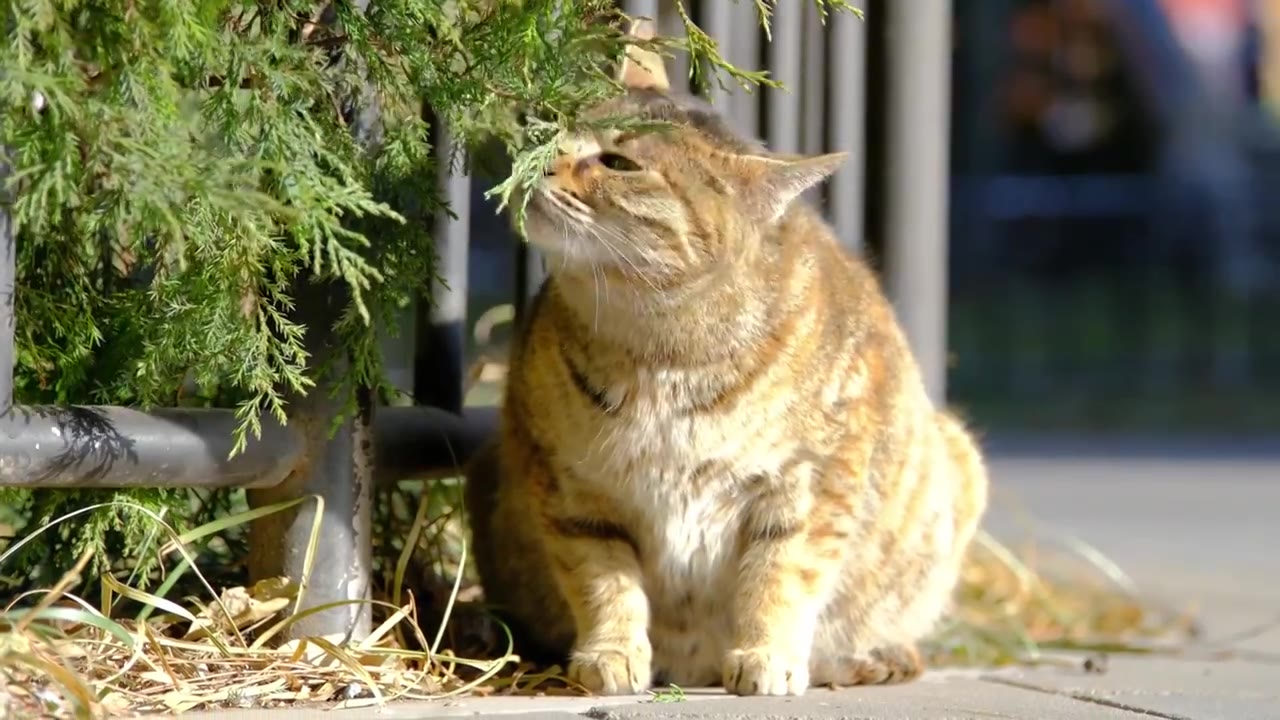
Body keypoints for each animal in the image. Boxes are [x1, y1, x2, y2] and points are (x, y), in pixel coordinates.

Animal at [463, 18, 988, 696]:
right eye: (556, 129)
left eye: (618, 162)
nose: (539, 162)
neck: (663, 351)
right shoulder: (569, 485)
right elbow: (603, 582)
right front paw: (611, 654)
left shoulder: (810, 484)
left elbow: (780, 576)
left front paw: (767, 655)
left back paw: (867, 656)